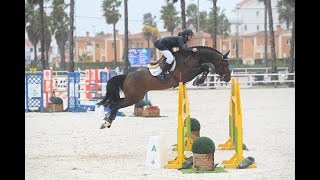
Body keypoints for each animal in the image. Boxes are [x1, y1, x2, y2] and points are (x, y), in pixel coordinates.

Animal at [96, 45, 231, 129]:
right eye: (225, 64)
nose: (228, 78)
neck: (192, 57)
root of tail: (127, 76)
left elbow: (205, 67)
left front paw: (199, 80)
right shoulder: (186, 74)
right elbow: (205, 67)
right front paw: (199, 80)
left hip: (132, 97)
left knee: (113, 104)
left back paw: (106, 119)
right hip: (133, 98)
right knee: (116, 105)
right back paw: (107, 123)